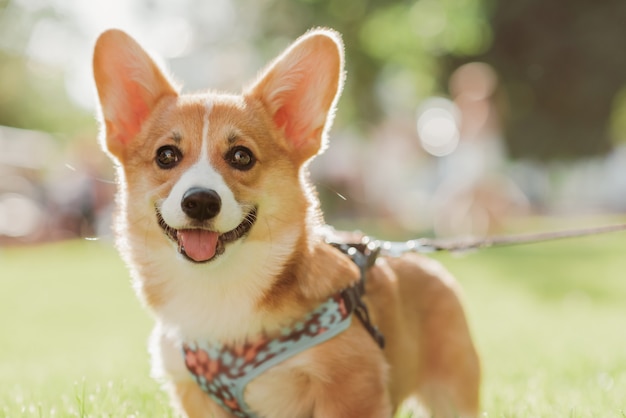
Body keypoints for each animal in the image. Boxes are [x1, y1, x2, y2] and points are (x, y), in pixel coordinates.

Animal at [91, 27, 478, 416]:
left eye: (241, 156)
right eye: (166, 155)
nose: (200, 201)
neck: (218, 289)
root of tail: (419, 258)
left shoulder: (350, 387)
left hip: (451, 396)